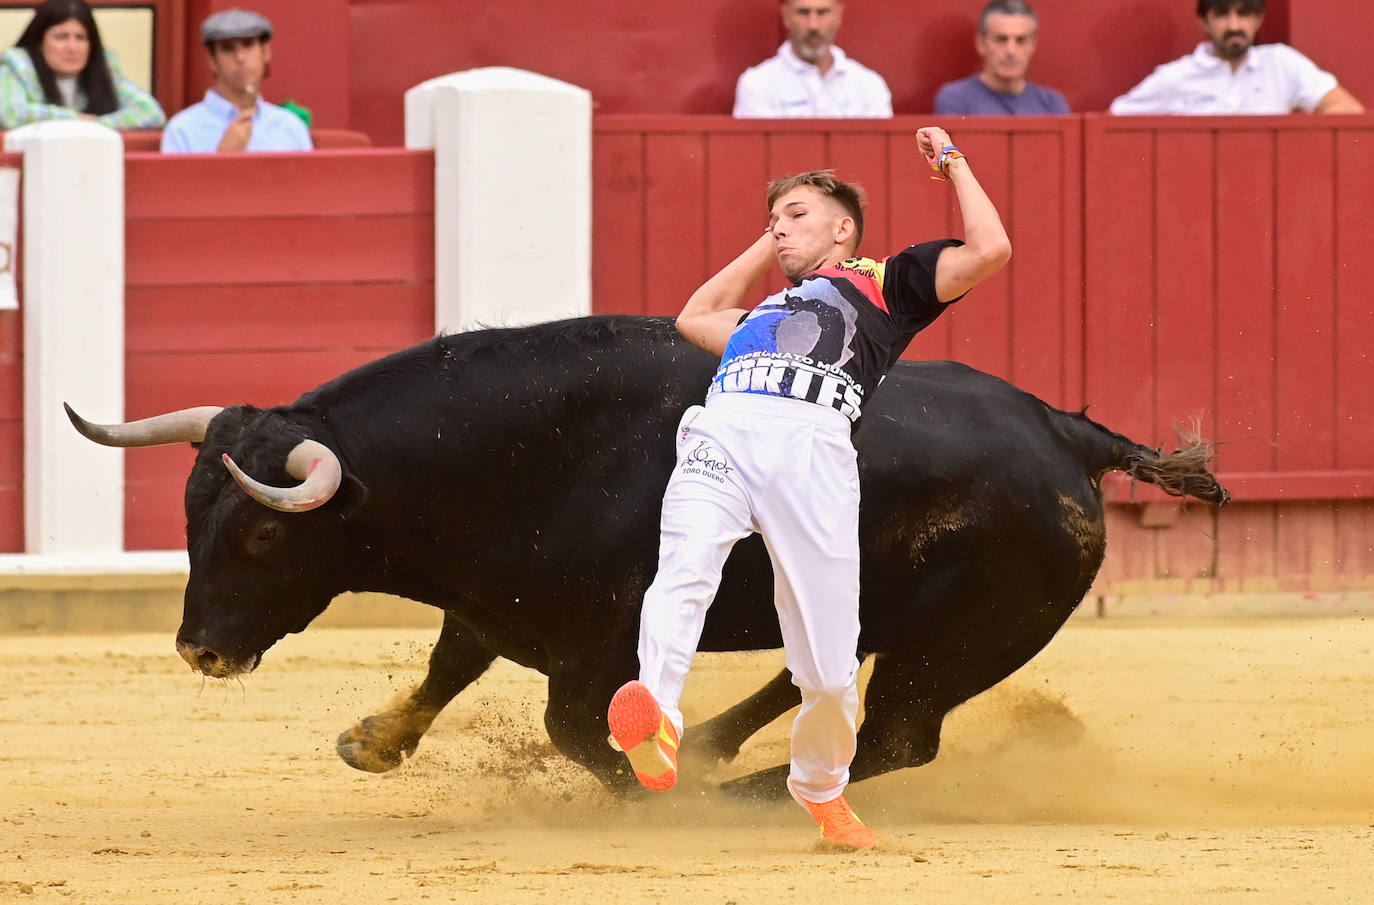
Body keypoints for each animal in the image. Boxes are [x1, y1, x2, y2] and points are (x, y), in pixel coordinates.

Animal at [64, 313, 1231, 802]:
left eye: (264, 530)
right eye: (190, 511)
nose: (199, 649)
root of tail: (1066, 429)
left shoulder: (595, 645)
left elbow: (572, 729)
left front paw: (645, 788)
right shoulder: (497, 604)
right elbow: (449, 667)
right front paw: (373, 741)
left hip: (965, 641)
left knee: (897, 736)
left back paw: (748, 789)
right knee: (822, 681)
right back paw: (714, 747)